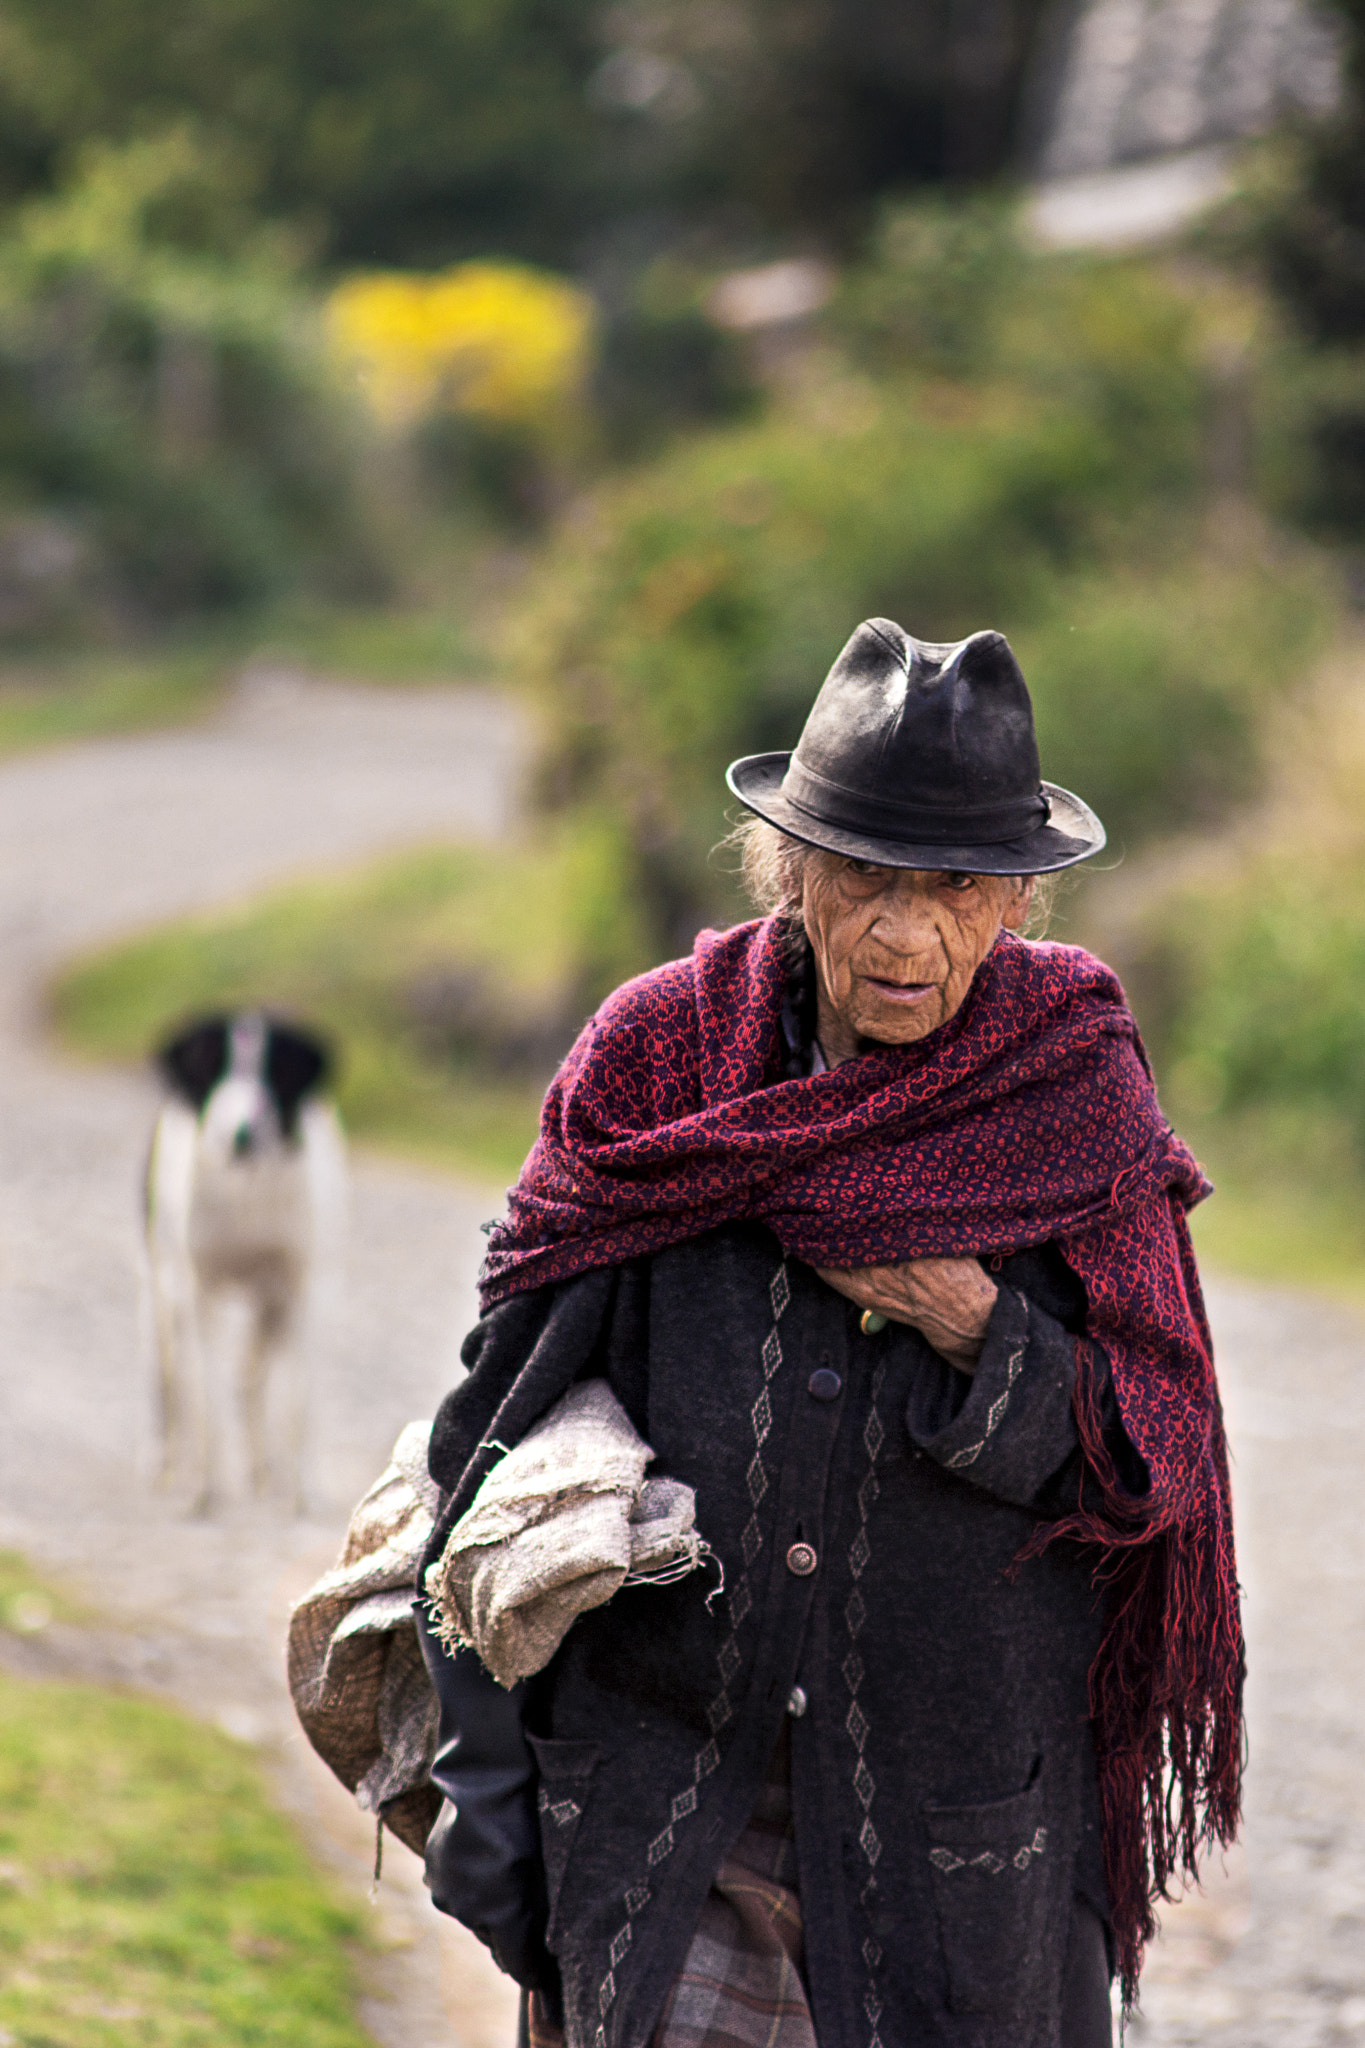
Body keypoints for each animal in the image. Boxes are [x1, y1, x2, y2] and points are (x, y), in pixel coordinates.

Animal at [143, 1015, 343, 1515]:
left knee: (250, 1380)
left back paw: (264, 1474)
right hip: (160, 1292)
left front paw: (297, 1492)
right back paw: (167, 1466)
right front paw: (200, 1488)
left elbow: (296, 1401)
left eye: (278, 1073)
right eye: (210, 1066)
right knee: (168, 1381)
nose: (242, 1134)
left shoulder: (304, 1290)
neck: (247, 1192)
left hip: (269, 1307)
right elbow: (203, 1396)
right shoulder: (198, 1291)